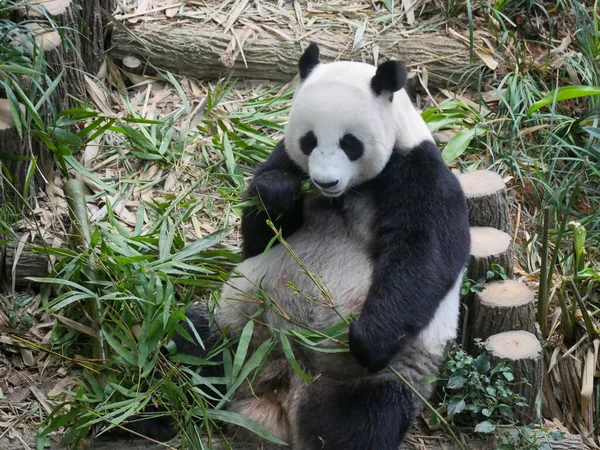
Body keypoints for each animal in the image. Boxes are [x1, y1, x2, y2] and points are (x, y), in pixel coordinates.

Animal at [125, 43, 468, 450]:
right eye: (309, 140)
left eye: (350, 143)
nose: (325, 181)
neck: (345, 194)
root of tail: (279, 386)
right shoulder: (284, 158)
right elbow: (257, 237)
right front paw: (278, 193)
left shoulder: (418, 171)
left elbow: (424, 254)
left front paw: (368, 339)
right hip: (234, 327)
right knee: (183, 347)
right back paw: (145, 415)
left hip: (382, 377)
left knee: (362, 424)